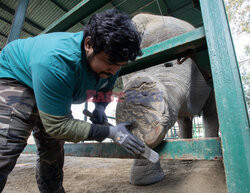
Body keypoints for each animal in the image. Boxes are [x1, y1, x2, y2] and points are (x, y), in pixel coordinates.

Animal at [115, 13, 219, 185]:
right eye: (128, 72)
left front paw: (211, 164)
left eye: (171, 62)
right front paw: (145, 181)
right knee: (183, 120)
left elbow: (212, 111)